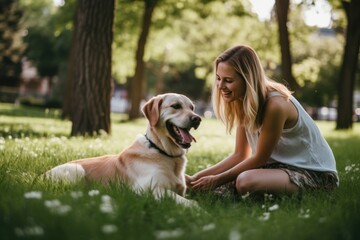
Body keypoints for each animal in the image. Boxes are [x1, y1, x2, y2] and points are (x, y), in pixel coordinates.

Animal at [45, 93, 200, 207]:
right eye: (176, 106)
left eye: (192, 108)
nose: (197, 119)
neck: (162, 151)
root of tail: (42, 176)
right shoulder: (148, 189)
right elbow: (189, 201)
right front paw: (199, 209)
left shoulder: (180, 189)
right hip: (76, 170)